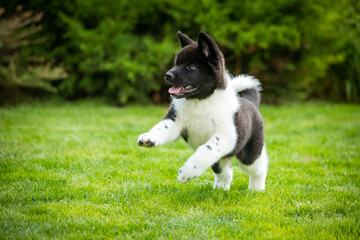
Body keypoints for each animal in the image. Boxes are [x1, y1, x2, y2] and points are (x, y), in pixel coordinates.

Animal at [138, 31, 268, 191]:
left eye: (190, 67)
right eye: (176, 64)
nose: (167, 75)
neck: (200, 101)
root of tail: (251, 102)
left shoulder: (225, 135)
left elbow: (205, 151)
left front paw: (186, 173)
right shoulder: (175, 121)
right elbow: (162, 127)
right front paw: (149, 138)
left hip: (250, 153)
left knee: (259, 168)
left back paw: (256, 189)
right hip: (221, 159)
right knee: (225, 171)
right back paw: (221, 188)